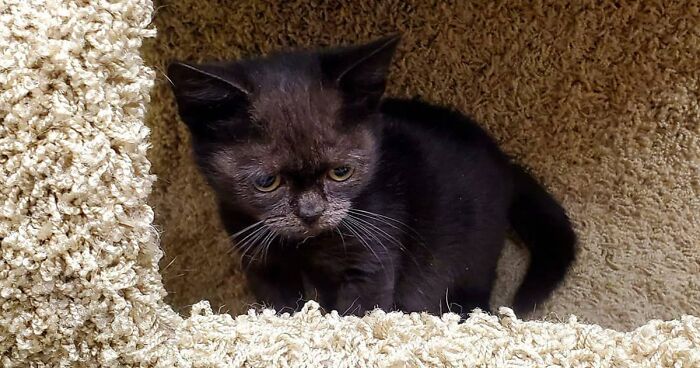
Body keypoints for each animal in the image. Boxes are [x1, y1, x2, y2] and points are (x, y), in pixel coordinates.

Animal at [167, 35, 576, 316]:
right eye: (267, 182)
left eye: (341, 171)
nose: (311, 213)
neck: (309, 246)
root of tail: (504, 160)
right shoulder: (261, 261)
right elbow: (281, 307)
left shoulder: (372, 255)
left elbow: (357, 313)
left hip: (473, 258)